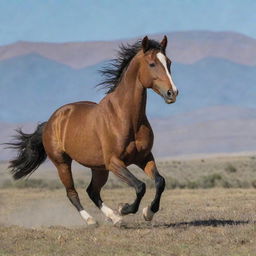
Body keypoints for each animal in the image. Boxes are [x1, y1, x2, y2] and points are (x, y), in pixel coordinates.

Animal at [8, 35, 179, 225]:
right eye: (152, 64)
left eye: (169, 62)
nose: (172, 93)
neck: (126, 118)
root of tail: (51, 121)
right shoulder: (114, 162)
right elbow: (140, 186)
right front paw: (124, 208)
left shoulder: (144, 157)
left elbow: (160, 182)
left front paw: (147, 212)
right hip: (63, 163)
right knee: (72, 193)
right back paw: (92, 220)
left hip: (98, 168)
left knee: (92, 191)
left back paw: (114, 218)